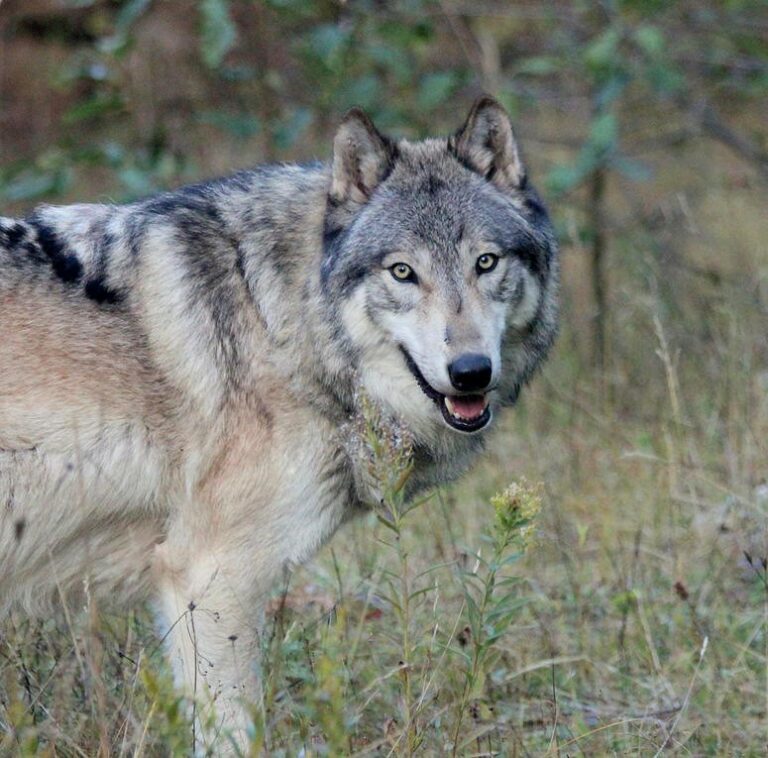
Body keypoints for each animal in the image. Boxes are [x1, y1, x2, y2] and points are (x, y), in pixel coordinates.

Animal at [0, 97, 558, 748]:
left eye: (485, 263)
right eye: (402, 273)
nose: (470, 372)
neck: (278, 318)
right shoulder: (211, 578)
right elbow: (235, 734)